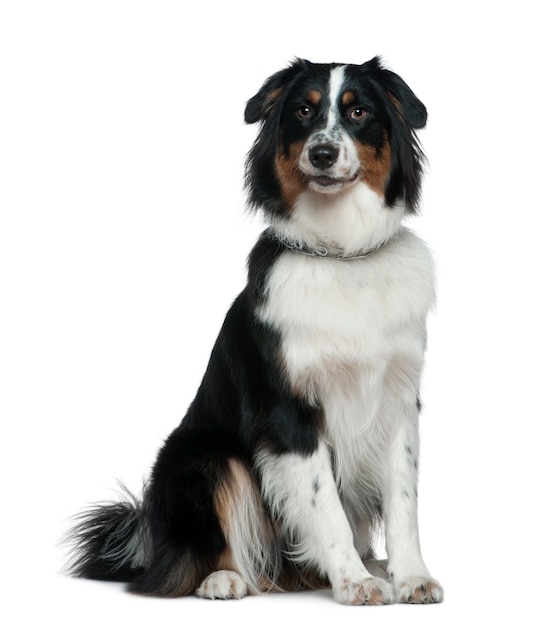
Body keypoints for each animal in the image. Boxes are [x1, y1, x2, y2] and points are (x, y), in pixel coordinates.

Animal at [65, 56, 440, 604]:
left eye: (359, 112)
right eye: (303, 110)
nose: (322, 153)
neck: (343, 254)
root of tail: (146, 542)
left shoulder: (397, 400)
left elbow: (404, 500)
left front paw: (411, 576)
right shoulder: (289, 413)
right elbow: (326, 506)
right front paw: (356, 582)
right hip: (203, 456)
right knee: (200, 553)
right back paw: (224, 578)